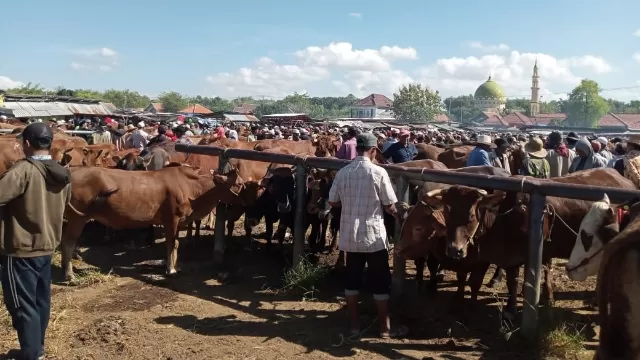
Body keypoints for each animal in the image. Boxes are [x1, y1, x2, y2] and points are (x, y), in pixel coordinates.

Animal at [62, 165, 242, 280]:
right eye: (239, 184)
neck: (192, 189)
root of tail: (72, 171)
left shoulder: (176, 222)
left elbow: (176, 243)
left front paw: (175, 266)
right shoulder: (172, 219)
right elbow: (171, 243)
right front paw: (171, 269)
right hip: (77, 217)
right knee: (69, 243)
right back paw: (69, 275)